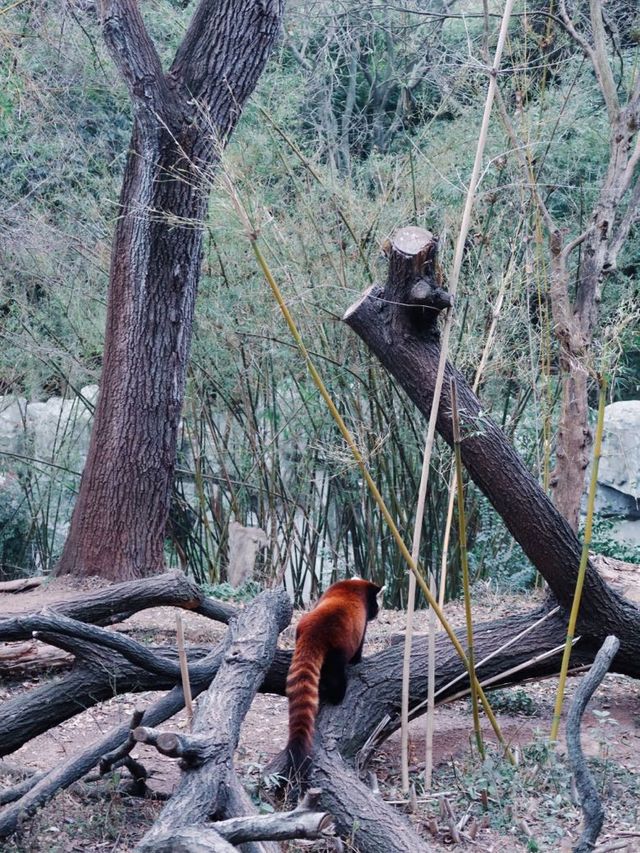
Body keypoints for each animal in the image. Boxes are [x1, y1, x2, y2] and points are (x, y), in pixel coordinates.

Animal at [282, 576, 380, 784]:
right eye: (376, 604)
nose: (377, 613)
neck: (352, 585)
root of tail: (315, 631)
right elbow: (360, 644)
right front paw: (358, 659)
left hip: (300, 632)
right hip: (337, 648)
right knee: (336, 676)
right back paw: (337, 696)